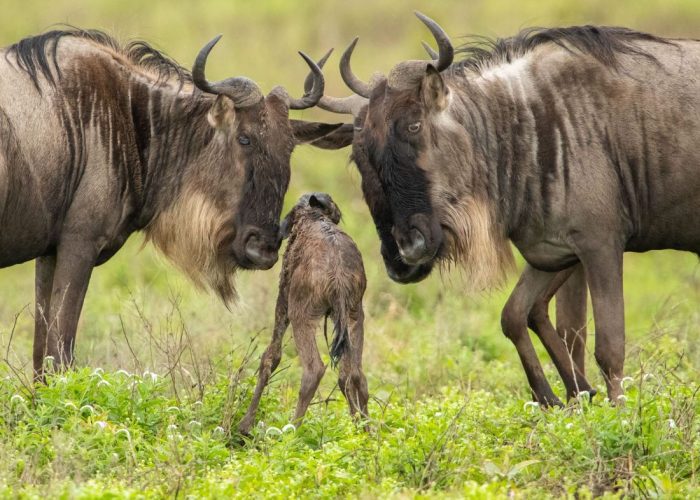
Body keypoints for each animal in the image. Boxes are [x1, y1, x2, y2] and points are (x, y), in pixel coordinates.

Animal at [239, 191, 370, 434]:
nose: (339, 214)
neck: (311, 217)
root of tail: (338, 277)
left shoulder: (283, 300)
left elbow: (270, 356)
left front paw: (244, 426)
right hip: (354, 314)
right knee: (355, 374)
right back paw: (366, 433)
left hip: (302, 314)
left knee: (314, 369)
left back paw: (291, 431)